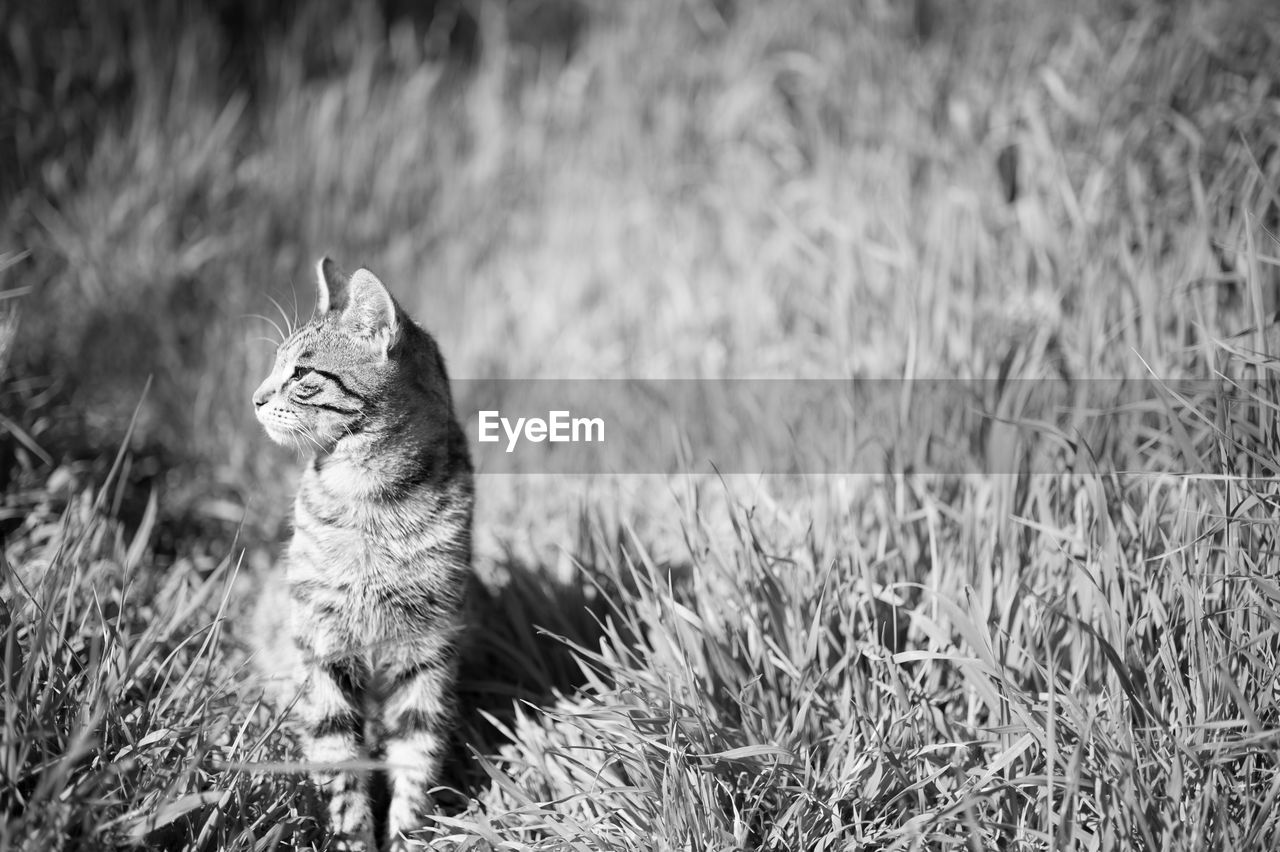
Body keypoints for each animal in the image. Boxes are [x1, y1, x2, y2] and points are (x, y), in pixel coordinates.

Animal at [249, 255, 476, 844]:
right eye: (275, 365)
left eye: (301, 375)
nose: (255, 398)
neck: (373, 499)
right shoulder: (323, 645)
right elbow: (338, 763)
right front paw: (353, 836)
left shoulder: (428, 650)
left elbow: (416, 759)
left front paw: (406, 838)